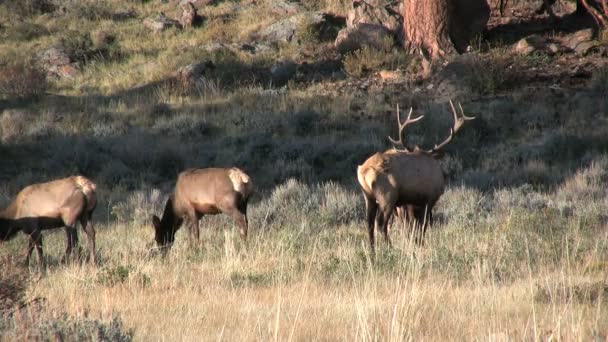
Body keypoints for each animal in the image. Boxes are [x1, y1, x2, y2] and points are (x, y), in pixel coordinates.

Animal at [356, 101, 476, 251]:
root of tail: (364, 170)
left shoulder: (410, 202)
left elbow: (412, 226)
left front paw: (415, 243)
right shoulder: (429, 198)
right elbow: (422, 225)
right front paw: (420, 244)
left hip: (368, 196)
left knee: (369, 223)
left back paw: (372, 251)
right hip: (387, 196)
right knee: (381, 222)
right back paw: (390, 248)